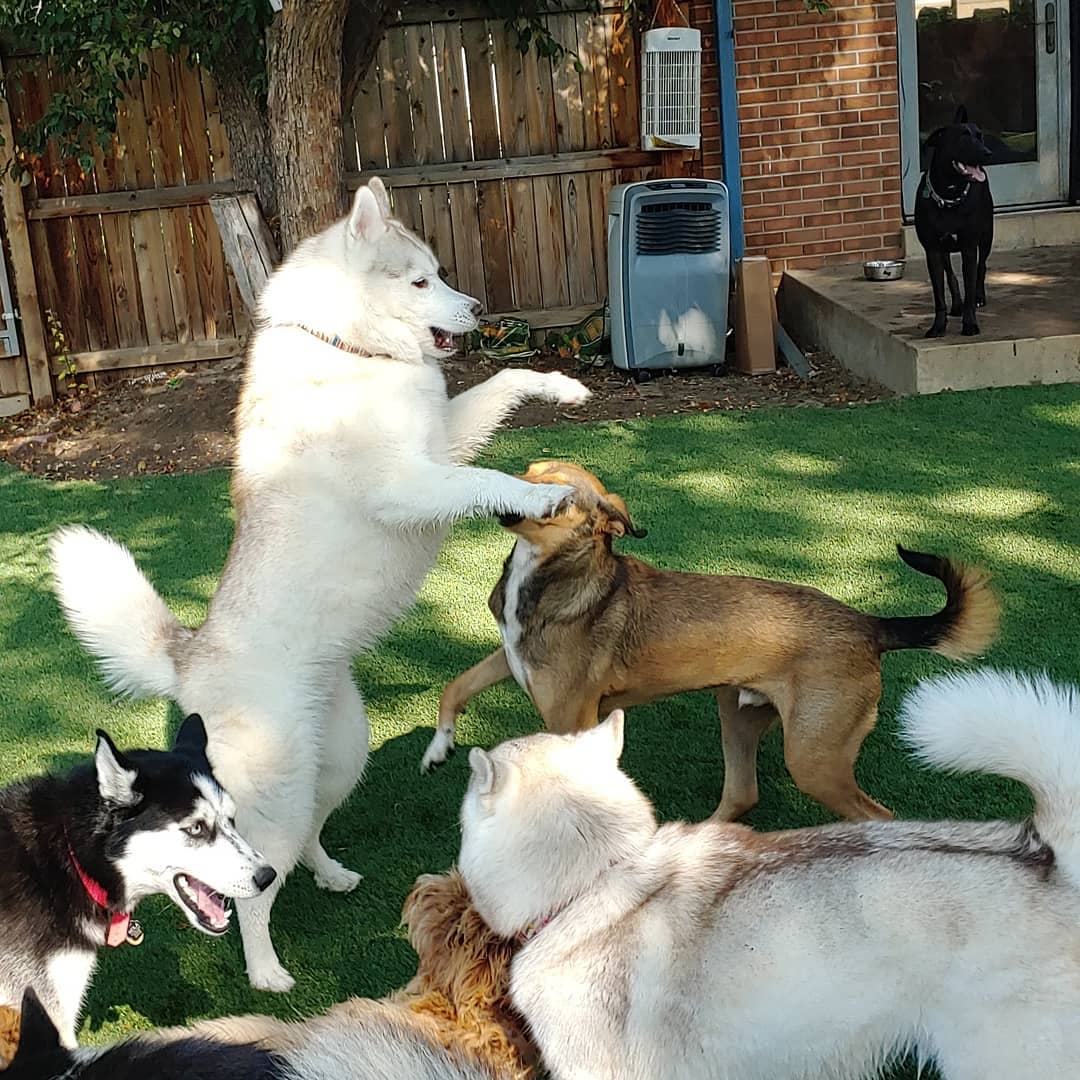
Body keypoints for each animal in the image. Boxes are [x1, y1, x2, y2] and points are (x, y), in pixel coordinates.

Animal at [423, 457, 1002, 816]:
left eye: (560, 498)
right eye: (526, 471)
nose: (494, 485)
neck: (553, 572)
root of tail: (869, 624)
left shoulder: (569, 716)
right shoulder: (510, 657)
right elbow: (454, 686)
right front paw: (438, 747)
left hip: (813, 758)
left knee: (877, 815)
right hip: (738, 714)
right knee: (743, 795)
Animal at [911, 105, 993, 334]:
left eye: (980, 136)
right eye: (963, 137)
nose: (987, 153)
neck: (950, 194)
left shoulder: (969, 247)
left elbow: (971, 284)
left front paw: (970, 323)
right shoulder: (933, 251)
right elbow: (939, 294)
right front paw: (938, 326)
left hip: (986, 237)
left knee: (982, 267)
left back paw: (979, 297)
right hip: (945, 251)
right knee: (951, 276)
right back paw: (956, 305)